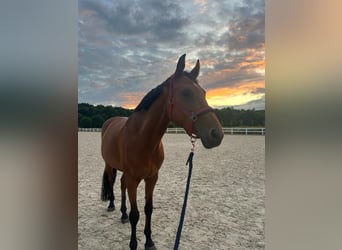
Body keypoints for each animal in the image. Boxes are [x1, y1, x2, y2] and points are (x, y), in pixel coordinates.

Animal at [100, 53, 223, 249]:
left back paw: (123, 214)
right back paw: (112, 206)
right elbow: (136, 214)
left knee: (121, 184)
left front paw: (149, 241)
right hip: (109, 164)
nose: (216, 134)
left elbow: (148, 209)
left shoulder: (152, 178)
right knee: (111, 183)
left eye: (204, 93)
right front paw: (133, 244)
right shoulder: (134, 180)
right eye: (186, 92)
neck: (143, 140)